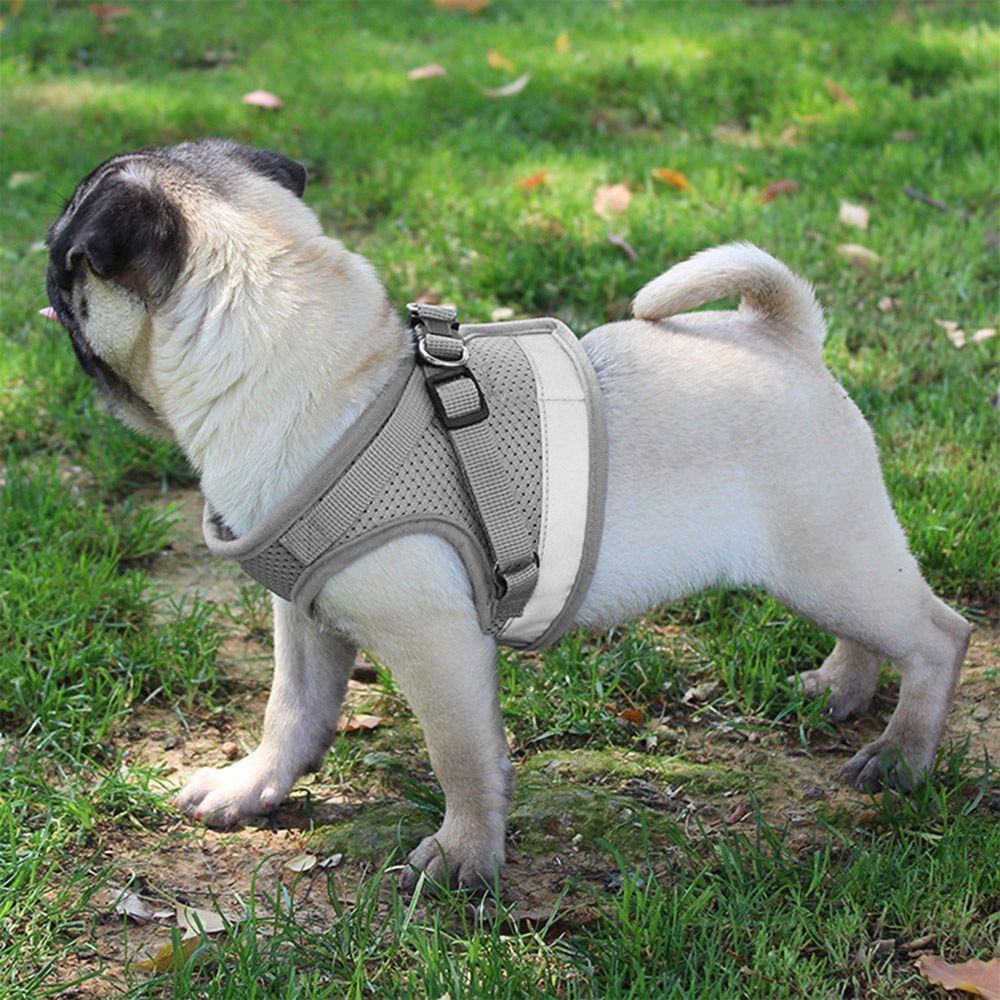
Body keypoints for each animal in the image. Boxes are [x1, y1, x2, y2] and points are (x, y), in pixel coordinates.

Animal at [46, 139, 970, 889]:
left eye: (66, 256)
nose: (42, 264)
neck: (326, 375)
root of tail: (782, 333)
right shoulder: (307, 616)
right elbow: (291, 712)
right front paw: (252, 787)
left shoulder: (436, 642)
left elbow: (461, 755)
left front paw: (464, 856)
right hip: (822, 566)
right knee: (876, 634)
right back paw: (841, 688)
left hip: (826, 554)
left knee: (936, 636)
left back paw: (901, 757)